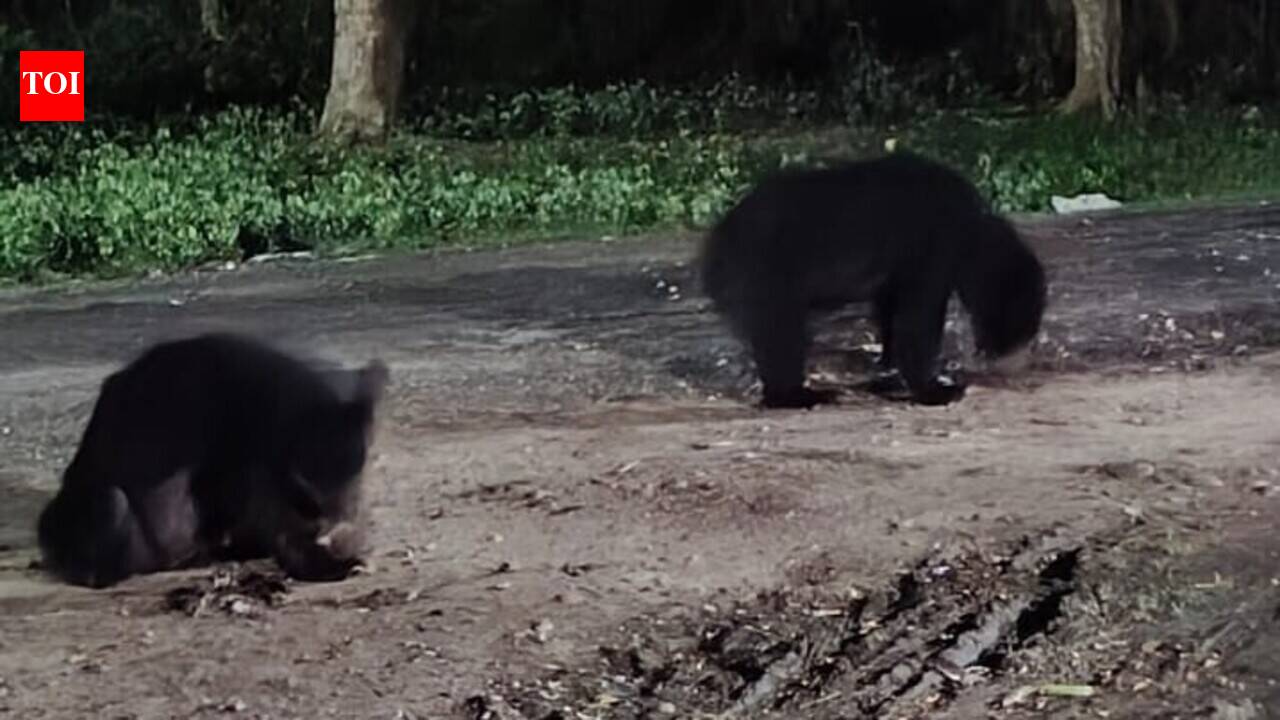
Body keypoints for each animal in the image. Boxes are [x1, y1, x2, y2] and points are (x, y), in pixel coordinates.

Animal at [700, 152, 1046, 408]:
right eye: (1025, 313)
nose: (1014, 354)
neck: (975, 231)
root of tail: (716, 243)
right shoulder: (932, 244)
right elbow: (918, 318)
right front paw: (935, 390)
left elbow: (890, 311)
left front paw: (890, 372)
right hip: (767, 273)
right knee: (781, 333)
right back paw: (799, 395)